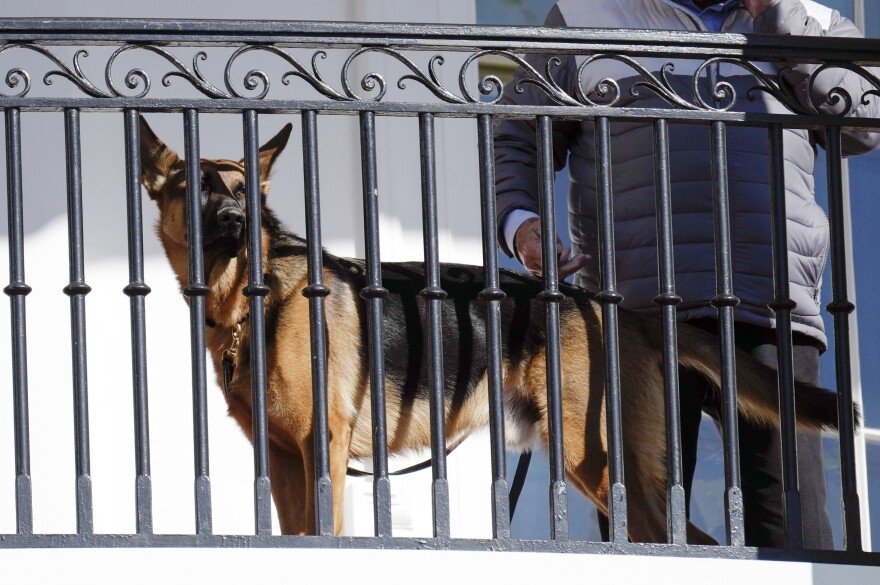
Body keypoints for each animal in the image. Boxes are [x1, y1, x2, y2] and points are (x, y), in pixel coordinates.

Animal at [141, 114, 848, 544]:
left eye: (243, 194)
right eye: (194, 187)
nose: (234, 222)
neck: (253, 298)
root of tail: (617, 308)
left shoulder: (324, 451)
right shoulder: (286, 461)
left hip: (592, 457)